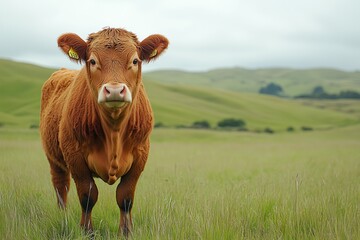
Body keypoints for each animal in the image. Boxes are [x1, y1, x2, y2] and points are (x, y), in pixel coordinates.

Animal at [40, 26, 169, 236]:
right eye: (92, 61)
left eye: (135, 60)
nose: (115, 90)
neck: (114, 132)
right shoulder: (75, 156)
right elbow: (88, 196)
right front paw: (87, 231)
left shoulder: (140, 156)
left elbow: (125, 197)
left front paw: (126, 232)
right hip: (54, 158)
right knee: (61, 186)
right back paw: (63, 217)